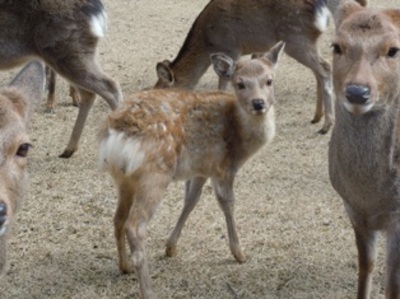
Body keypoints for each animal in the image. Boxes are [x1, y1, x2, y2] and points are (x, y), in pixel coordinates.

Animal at [99, 42, 286, 299]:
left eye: (269, 80)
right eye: (240, 83)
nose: (259, 103)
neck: (241, 137)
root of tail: (117, 133)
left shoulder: (201, 169)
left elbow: (191, 200)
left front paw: (170, 247)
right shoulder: (223, 166)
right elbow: (227, 204)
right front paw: (239, 254)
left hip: (124, 179)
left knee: (118, 218)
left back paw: (124, 266)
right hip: (154, 175)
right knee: (135, 226)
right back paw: (148, 290)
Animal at [155, 0, 368, 135]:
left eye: (163, 91)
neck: (207, 40)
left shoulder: (231, 48)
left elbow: (223, 82)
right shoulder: (255, 49)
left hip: (296, 39)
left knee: (324, 68)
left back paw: (326, 125)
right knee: (319, 70)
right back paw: (316, 117)